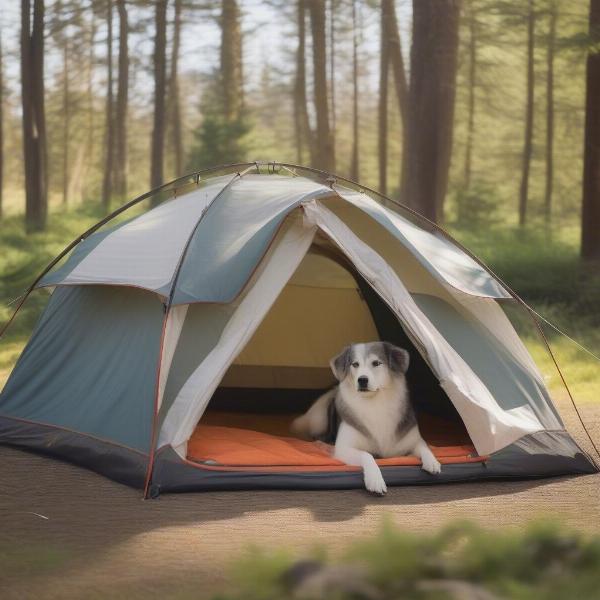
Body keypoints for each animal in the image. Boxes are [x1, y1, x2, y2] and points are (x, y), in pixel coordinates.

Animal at [290, 340, 440, 494]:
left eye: (376, 363)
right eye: (355, 364)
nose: (362, 380)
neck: (374, 404)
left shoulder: (413, 438)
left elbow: (424, 446)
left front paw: (433, 461)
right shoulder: (344, 448)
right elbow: (367, 455)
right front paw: (375, 480)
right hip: (319, 416)